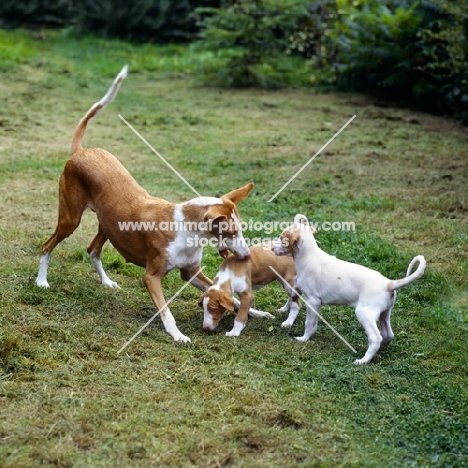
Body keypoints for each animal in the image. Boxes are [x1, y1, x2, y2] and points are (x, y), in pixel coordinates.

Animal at [35, 65, 256, 344]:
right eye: (231, 232)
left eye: (241, 229)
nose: (247, 255)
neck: (187, 231)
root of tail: (81, 151)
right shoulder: (151, 277)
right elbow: (166, 311)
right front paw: (177, 334)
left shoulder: (191, 273)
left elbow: (231, 298)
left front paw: (259, 312)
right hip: (70, 219)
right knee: (47, 246)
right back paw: (41, 281)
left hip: (108, 224)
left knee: (93, 250)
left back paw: (107, 282)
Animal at [272, 214, 426, 364]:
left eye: (281, 238)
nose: (271, 249)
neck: (309, 257)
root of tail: (388, 283)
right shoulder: (314, 302)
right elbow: (313, 321)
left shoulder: (313, 300)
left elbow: (309, 323)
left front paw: (304, 339)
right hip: (385, 313)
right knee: (387, 334)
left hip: (364, 313)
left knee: (376, 338)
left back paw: (363, 361)